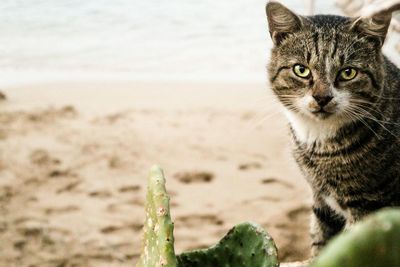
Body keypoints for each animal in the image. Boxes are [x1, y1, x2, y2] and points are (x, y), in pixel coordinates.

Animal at [266, 1, 400, 258]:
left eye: (348, 72)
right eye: (301, 70)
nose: (322, 98)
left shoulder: (370, 206)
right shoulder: (321, 200)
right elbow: (322, 241)